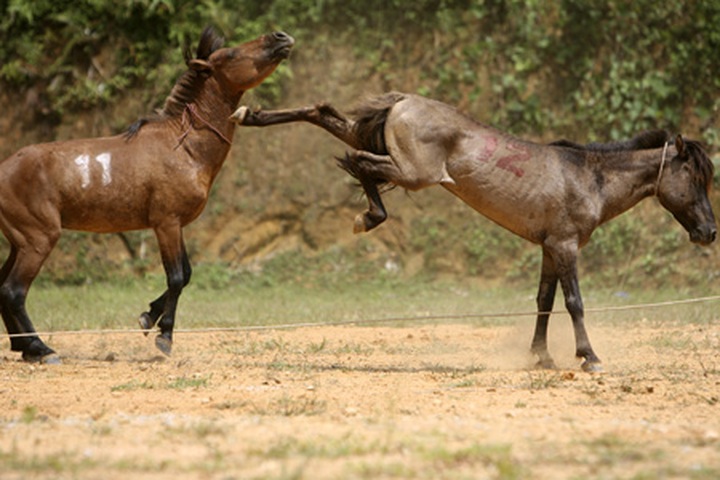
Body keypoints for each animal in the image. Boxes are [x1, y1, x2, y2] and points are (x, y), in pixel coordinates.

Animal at [0, 27, 294, 364]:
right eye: (230, 54)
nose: (281, 37)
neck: (183, 146)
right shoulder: (165, 223)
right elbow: (176, 277)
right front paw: (164, 335)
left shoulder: (176, 225)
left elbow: (187, 274)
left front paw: (148, 316)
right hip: (38, 239)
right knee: (14, 290)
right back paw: (41, 348)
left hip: (19, 241)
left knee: (3, 286)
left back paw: (25, 348)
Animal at [231, 92, 717, 372]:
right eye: (695, 179)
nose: (710, 232)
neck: (587, 177)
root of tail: (405, 101)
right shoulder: (565, 246)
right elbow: (574, 302)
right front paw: (589, 357)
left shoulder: (548, 248)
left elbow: (544, 301)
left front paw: (541, 357)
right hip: (412, 172)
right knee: (357, 161)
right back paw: (367, 217)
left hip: (377, 143)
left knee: (325, 116)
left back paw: (249, 113)